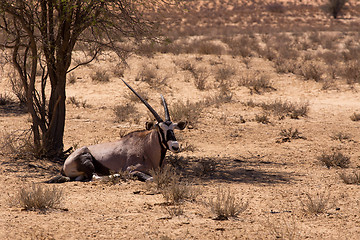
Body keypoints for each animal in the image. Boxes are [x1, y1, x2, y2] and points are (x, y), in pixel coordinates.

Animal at [48, 79, 187, 183]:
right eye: (160, 129)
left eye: (173, 128)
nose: (175, 146)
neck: (146, 146)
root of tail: (64, 166)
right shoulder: (132, 169)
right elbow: (150, 178)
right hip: (87, 159)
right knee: (93, 177)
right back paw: (117, 175)